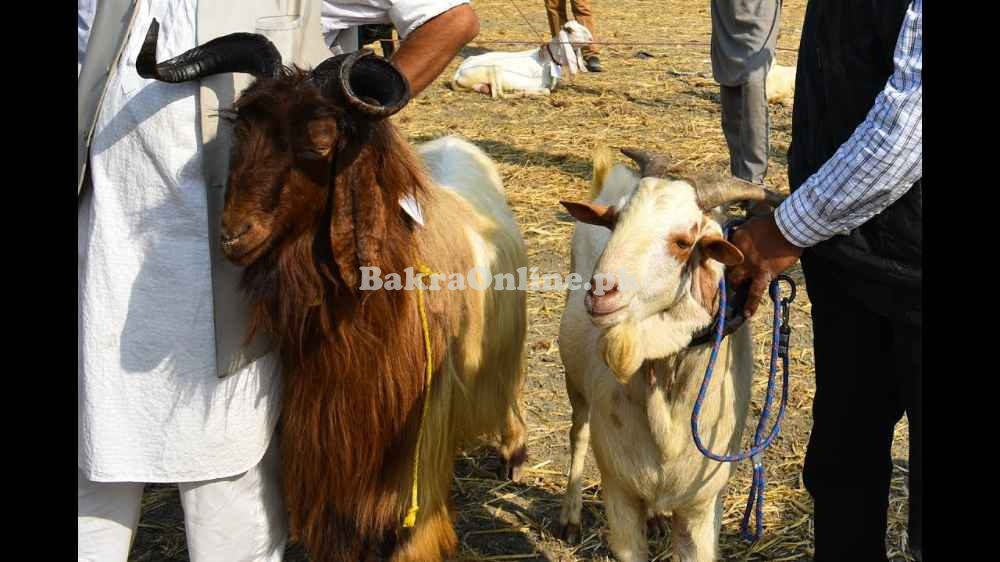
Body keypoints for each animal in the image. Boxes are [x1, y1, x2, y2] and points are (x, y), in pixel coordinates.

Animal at [141, 19, 536, 556]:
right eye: (240, 129)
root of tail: (458, 145)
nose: (233, 236)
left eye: (320, 143)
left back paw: (514, 454)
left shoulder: (414, 465)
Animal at [454, 20, 592, 97]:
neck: (547, 59)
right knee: (498, 95)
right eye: (570, 30)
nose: (591, 38)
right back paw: (520, 93)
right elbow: (546, 91)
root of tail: (458, 72)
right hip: (493, 69)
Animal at [560, 147, 784, 556]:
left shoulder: (702, 507)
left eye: (682, 242)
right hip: (575, 383)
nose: (601, 291)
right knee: (578, 433)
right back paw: (570, 515)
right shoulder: (619, 493)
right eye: (614, 222)